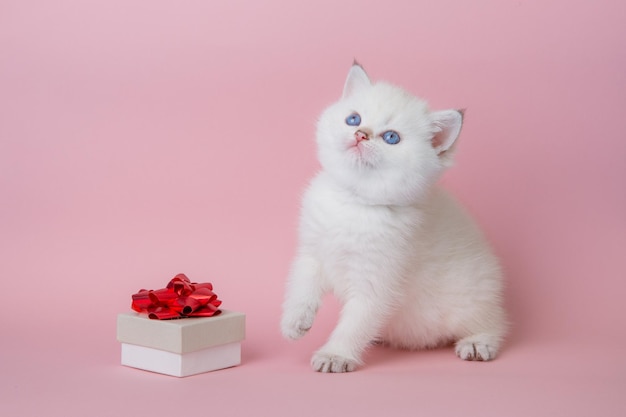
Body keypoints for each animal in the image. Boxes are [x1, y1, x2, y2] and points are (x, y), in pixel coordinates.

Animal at [280, 61, 504, 370]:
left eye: (391, 137)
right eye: (353, 119)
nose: (360, 134)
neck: (354, 203)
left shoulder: (378, 280)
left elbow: (355, 323)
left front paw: (336, 354)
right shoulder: (312, 253)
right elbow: (302, 285)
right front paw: (294, 320)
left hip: (474, 294)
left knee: (494, 322)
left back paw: (477, 343)